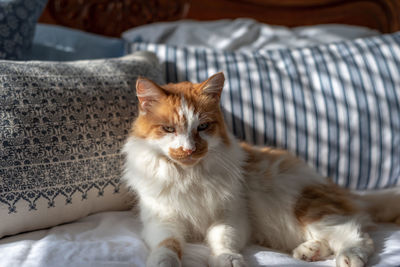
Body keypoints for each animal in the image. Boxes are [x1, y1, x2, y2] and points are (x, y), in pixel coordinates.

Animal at [122, 72, 400, 266]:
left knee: (356, 234)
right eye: (169, 129)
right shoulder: (162, 220)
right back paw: (307, 252)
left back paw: (348, 257)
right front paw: (164, 262)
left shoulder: (230, 216)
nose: (189, 150)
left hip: (305, 207)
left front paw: (227, 260)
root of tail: (337, 187)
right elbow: (167, 245)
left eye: (203, 127)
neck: (188, 176)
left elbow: (222, 240)